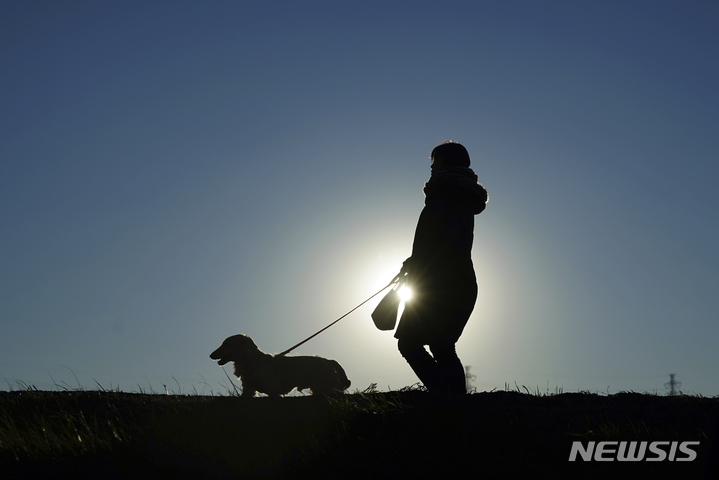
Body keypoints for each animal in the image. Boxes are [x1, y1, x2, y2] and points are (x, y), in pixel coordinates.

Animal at [210, 334, 352, 398]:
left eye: (226, 344)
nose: (210, 355)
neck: (254, 362)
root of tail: (328, 361)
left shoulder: (273, 388)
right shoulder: (248, 389)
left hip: (327, 386)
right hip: (318, 388)